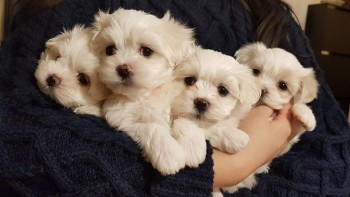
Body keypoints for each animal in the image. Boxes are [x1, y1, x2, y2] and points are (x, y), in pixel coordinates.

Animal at [91, 8, 196, 175]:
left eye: (146, 51)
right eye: (110, 50)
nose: (123, 69)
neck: (146, 94)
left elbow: (185, 117)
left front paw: (193, 149)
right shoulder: (123, 120)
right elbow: (151, 127)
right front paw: (170, 154)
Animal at [171, 47, 262, 195]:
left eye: (223, 90)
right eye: (189, 80)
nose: (201, 103)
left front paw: (233, 137)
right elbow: (183, 121)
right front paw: (192, 149)